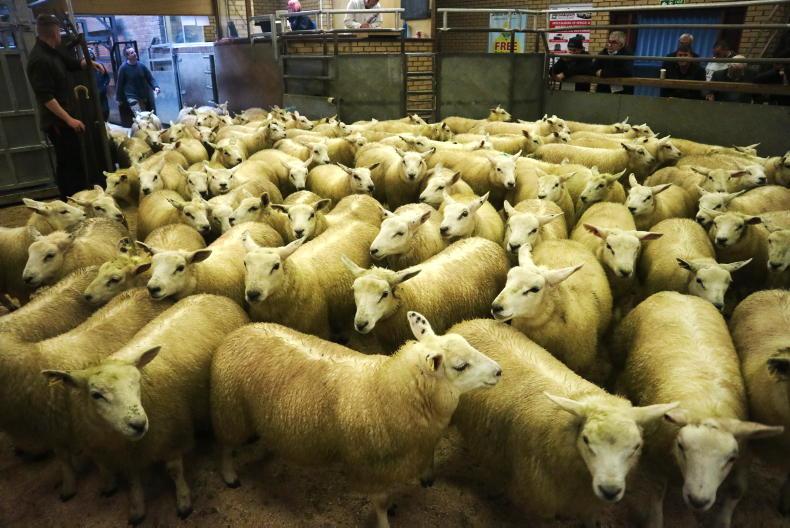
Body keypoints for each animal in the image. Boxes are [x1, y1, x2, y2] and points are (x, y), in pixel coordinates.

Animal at [0, 288, 173, 500]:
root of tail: (141, 290)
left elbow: (96, 459)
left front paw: (107, 482)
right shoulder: (55, 429)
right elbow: (63, 458)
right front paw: (69, 485)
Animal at [45, 294, 248, 523]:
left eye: (137, 381)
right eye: (96, 395)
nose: (138, 424)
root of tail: (212, 296)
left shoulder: (171, 435)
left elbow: (175, 471)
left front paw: (183, 502)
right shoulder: (126, 455)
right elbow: (133, 480)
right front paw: (137, 508)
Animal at [210, 313, 500, 528]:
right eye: (460, 366)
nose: (499, 371)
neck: (386, 386)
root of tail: (239, 331)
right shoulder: (370, 466)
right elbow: (380, 503)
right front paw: (385, 522)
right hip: (231, 410)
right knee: (225, 445)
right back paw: (229, 476)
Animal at [450, 318, 677, 522]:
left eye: (636, 446)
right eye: (586, 439)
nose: (610, 490)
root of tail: (469, 322)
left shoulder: (586, 505)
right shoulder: (536, 503)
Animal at [613, 291, 783, 528]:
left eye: (731, 458)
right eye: (681, 446)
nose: (698, 500)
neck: (708, 408)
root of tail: (681, 294)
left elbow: (735, 490)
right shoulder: (658, 457)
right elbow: (657, 492)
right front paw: (655, 520)